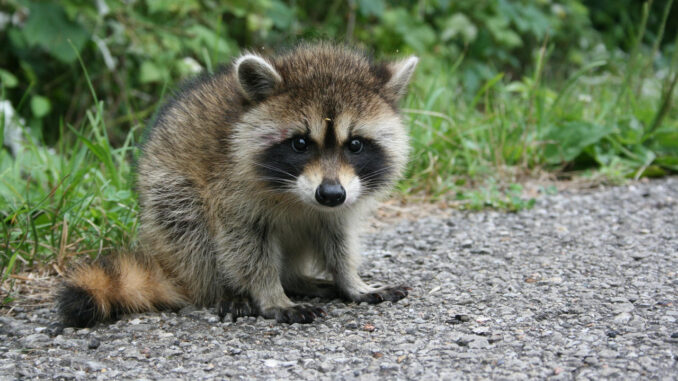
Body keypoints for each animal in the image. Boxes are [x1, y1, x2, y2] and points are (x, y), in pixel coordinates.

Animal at [58, 42, 420, 326]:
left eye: (355, 145)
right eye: (300, 144)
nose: (330, 194)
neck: (298, 197)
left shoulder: (344, 200)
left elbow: (338, 240)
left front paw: (350, 280)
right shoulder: (229, 187)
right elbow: (245, 246)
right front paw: (270, 294)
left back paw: (296, 279)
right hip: (167, 196)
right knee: (188, 224)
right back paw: (227, 290)